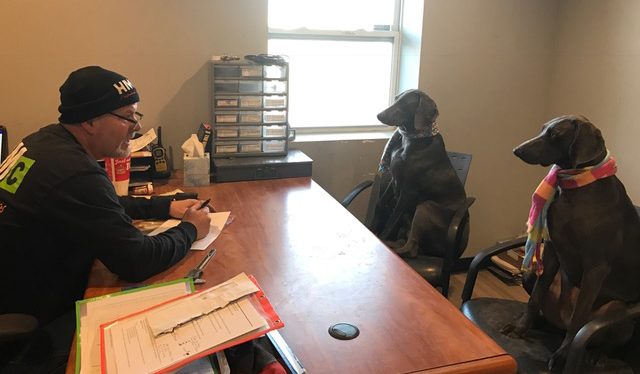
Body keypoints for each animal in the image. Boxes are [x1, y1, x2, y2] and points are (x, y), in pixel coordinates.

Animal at [504, 114, 640, 372]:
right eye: (542, 129)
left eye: (555, 134)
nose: (516, 150)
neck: (576, 188)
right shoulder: (552, 250)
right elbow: (535, 297)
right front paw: (520, 328)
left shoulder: (596, 267)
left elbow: (579, 320)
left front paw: (562, 357)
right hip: (531, 273)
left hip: (617, 308)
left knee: (602, 340)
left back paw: (596, 355)